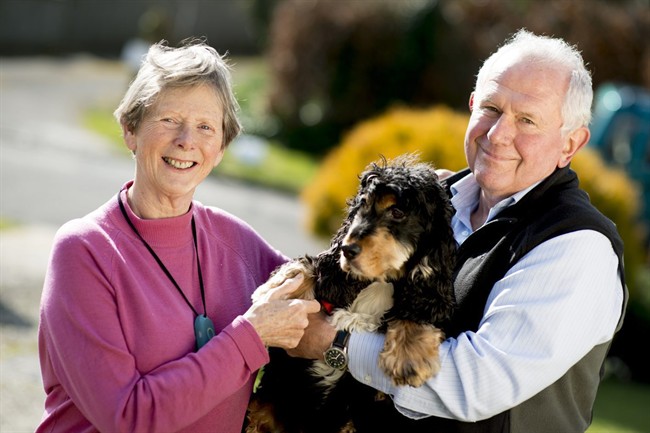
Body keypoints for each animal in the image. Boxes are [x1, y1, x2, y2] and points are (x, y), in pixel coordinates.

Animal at [246, 154, 454, 432]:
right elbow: (311, 267)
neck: (380, 282)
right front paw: (275, 295)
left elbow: (415, 312)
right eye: (363, 204)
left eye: (397, 212)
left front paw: (410, 359)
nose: (347, 249)